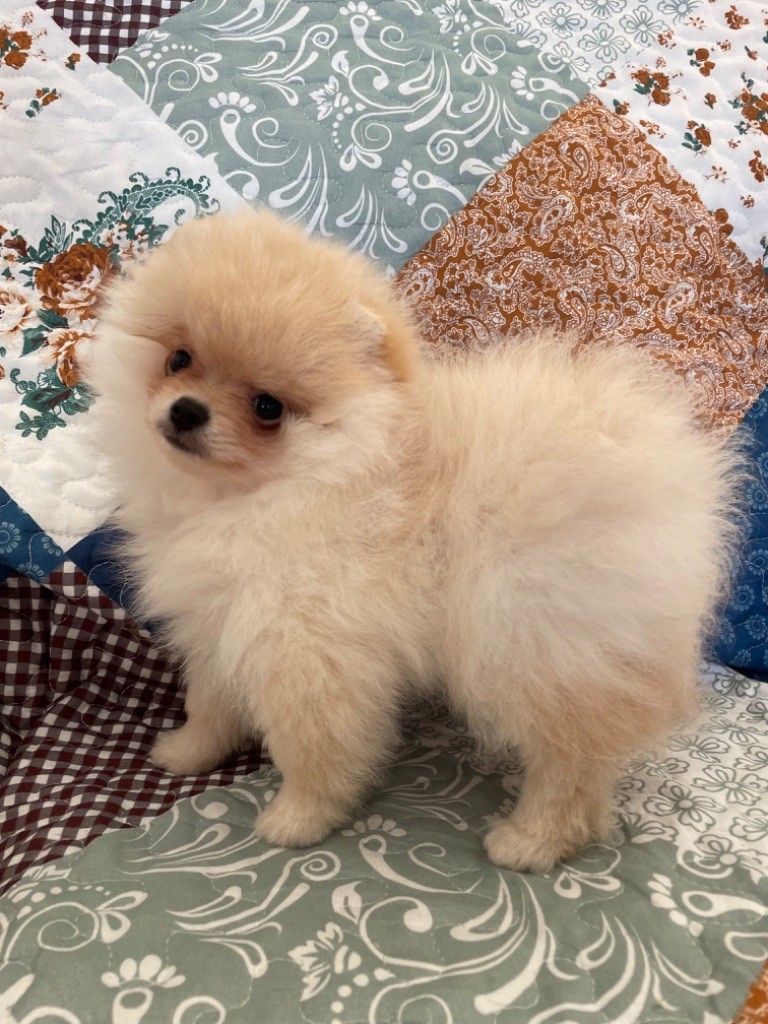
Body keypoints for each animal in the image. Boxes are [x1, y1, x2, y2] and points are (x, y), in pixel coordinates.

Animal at [85, 208, 740, 872]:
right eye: (179, 359)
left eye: (267, 407)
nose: (187, 411)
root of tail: (656, 468)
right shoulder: (220, 619)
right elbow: (210, 701)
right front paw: (187, 751)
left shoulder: (307, 642)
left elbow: (314, 745)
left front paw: (300, 817)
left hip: (539, 640)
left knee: (570, 760)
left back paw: (532, 839)